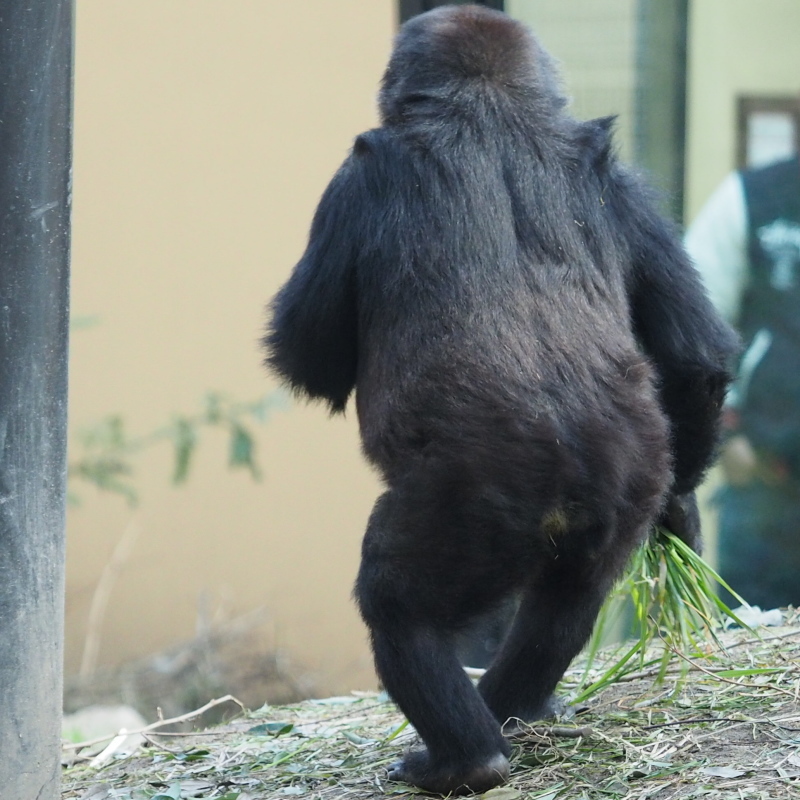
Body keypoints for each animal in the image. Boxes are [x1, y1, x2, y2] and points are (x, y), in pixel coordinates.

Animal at [264, 4, 736, 792]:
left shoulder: (360, 178)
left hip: (465, 503)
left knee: (399, 606)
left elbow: (311, 354)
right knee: (565, 603)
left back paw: (467, 757)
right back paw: (518, 710)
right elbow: (697, 359)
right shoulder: (628, 189)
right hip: (611, 494)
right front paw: (683, 516)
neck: (488, 107)